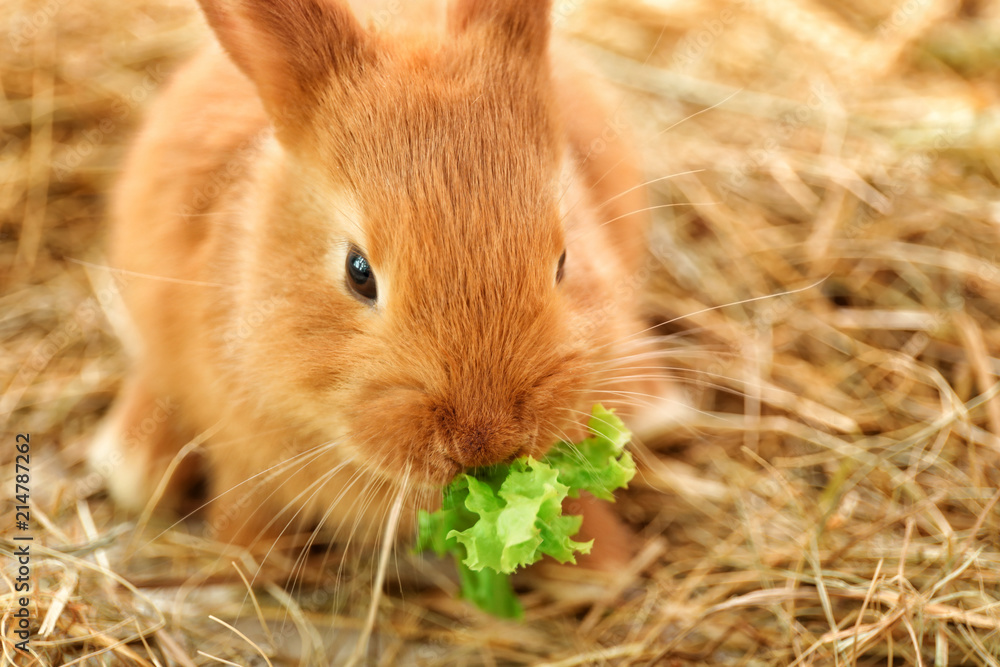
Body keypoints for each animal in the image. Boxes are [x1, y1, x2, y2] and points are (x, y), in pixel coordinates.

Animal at [90, 0, 684, 568]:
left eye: (563, 261)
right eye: (359, 272)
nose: (484, 442)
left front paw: (603, 566)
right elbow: (242, 509)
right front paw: (254, 558)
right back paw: (134, 464)